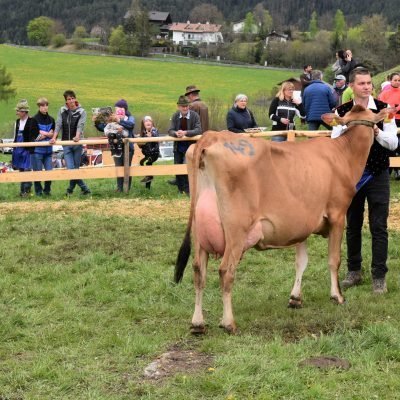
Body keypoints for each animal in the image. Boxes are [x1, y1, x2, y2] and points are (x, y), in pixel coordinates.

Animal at [174, 105, 388, 334]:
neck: (343, 154)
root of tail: (212, 136)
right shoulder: (338, 215)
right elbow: (334, 260)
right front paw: (337, 296)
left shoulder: (302, 224)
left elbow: (301, 262)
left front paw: (295, 298)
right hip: (236, 230)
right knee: (225, 271)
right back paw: (228, 323)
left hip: (199, 232)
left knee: (198, 271)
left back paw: (197, 323)